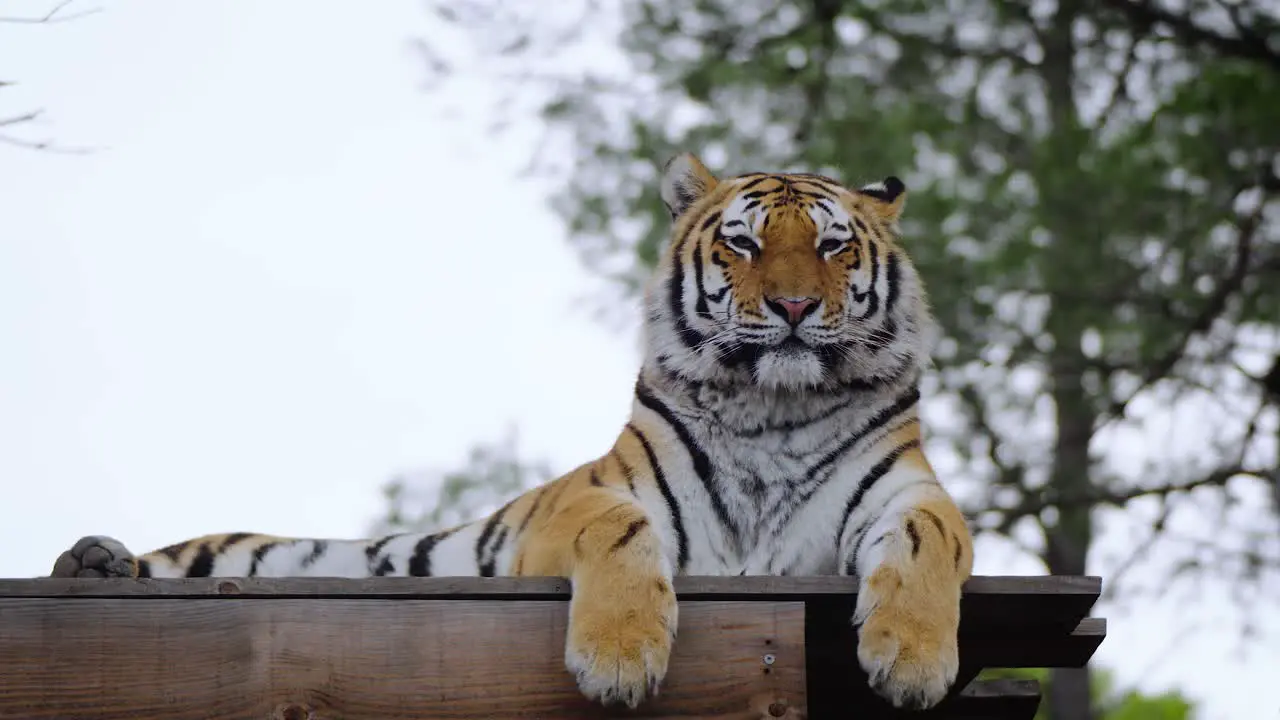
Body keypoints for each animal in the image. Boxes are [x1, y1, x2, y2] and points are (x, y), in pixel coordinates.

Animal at [47, 151, 967, 707]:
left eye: (833, 248)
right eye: (742, 244)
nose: (794, 306)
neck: (771, 407)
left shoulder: (907, 493)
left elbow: (928, 541)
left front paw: (913, 663)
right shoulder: (593, 499)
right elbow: (623, 531)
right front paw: (620, 661)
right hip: (249, 556)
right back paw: (93, 562)